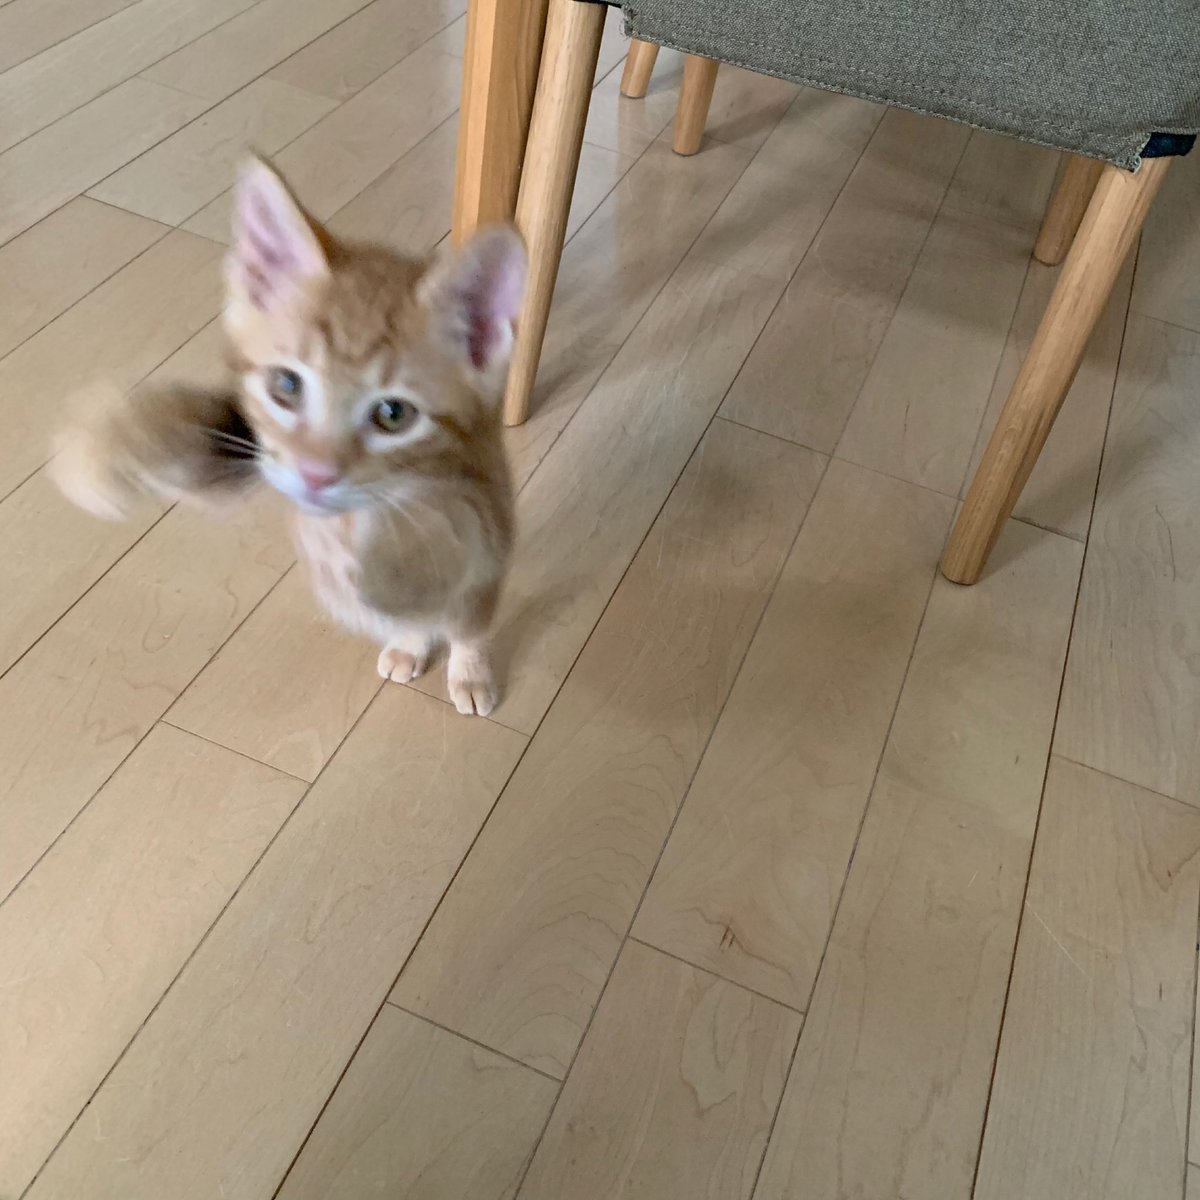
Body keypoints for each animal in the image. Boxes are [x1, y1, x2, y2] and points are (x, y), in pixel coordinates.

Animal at [51, 157, 526, 716]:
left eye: (393, 414)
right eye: (286, 386)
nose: (316, 476)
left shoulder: (482, 511)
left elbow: (452, 582)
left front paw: (439, 637)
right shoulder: (256, 450)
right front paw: (111, 448)